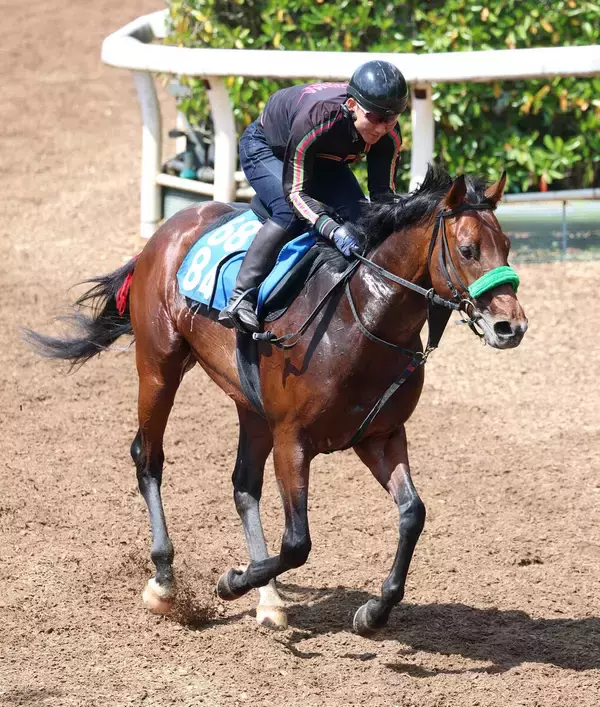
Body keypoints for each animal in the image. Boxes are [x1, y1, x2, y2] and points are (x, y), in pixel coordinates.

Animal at [27, 165, 528, 635]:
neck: (360, 319)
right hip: (158, 367)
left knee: (243, 485)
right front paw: (231, 581)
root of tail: (168, 231)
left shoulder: (380, 437)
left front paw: (374, 611)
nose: (512, 327)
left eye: (506, 246)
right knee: (148, 458)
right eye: (468, 250)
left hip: (251, 407)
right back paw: (165, 582)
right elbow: (298, 542)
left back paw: (268, 598)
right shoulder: (293, 439)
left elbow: (412, 515)